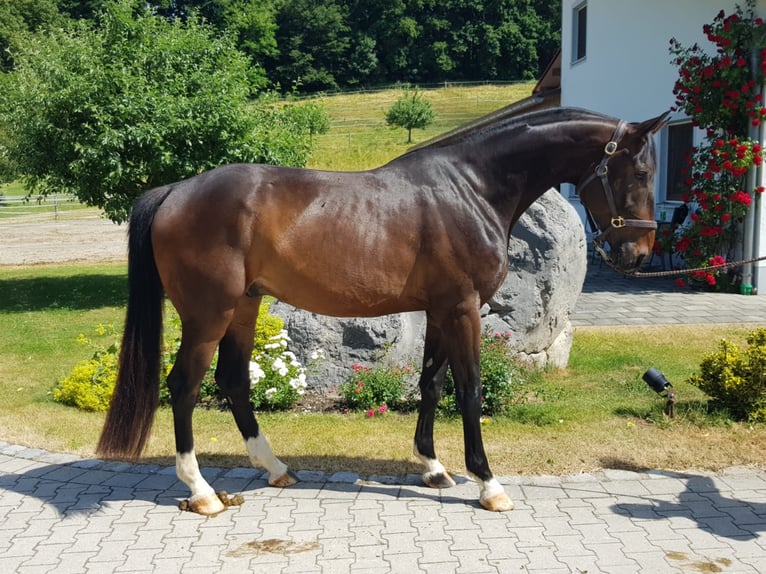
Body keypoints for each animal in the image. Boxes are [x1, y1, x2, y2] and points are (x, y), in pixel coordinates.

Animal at [99, 106, 668, 516]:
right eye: (640, 170)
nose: (638, 255)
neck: (472, 188)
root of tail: (174, 190)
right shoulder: (463, 309)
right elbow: (470, 390)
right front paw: (488, 484)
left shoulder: (440, 310)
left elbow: (431, 384)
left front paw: (434, 467)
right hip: (208, 314)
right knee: (184, 386)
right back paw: (201, 492)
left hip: (244, 305)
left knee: (234, 380)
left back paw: (274, 467)